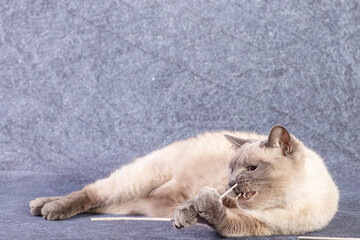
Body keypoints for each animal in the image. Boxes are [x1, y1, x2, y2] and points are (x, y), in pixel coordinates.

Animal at [29, 124, 338, 237]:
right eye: (231, 169)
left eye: (250, 169)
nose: (229, 184)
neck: (291, 201)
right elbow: (194, 203)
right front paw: (187, 214)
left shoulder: (254, 225)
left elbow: (219, 217)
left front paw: (196, 212)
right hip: (140, 178)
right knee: (91, 193)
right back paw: (46, 208)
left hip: (129, 203)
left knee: (99, 204)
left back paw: (41, 206)